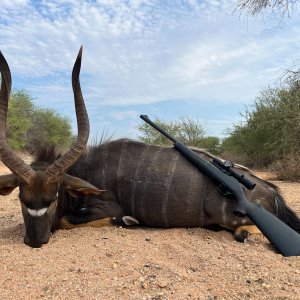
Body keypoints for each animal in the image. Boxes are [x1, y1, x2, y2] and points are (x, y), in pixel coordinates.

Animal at [0, 48, 300, 247]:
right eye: (21, 199)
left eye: (53, 198)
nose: (34, 241)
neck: (86, 170)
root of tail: (270, 191)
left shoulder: (106, 207)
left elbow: (68, 220)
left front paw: (128, 221)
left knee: (243, 231)